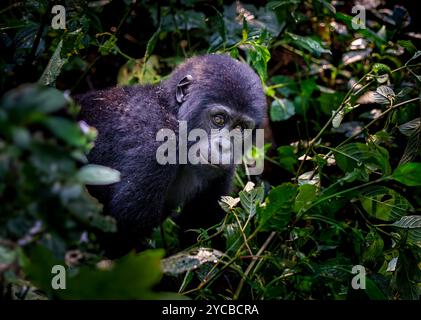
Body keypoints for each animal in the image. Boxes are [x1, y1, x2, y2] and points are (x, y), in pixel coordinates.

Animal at [75, 55, 264, 255]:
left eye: (240, 128)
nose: (225, 147)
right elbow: (125, 233)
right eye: (218, 119)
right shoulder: (155, 144)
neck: (171, 110)